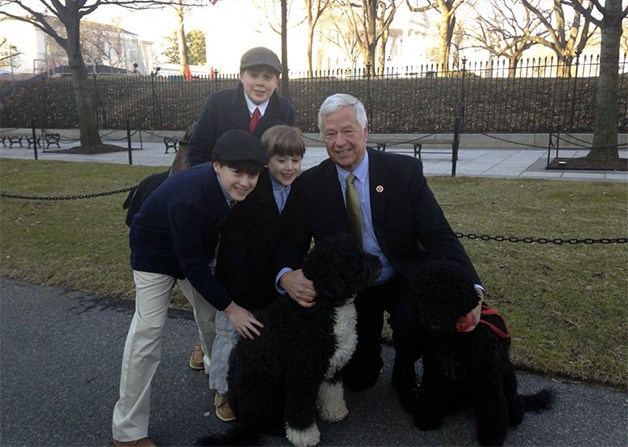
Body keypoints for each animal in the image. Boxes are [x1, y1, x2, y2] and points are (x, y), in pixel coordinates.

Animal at [196, 234, 382, 447]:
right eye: (352, 257)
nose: (379, 262)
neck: (324, 305)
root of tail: (245, 419)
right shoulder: (301, 374)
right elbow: (299, 411)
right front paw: (304, 436)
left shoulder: (331, 366)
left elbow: (332, 392)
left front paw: (334, 412)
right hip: (267, 391)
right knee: (264, 423)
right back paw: (279, 428)